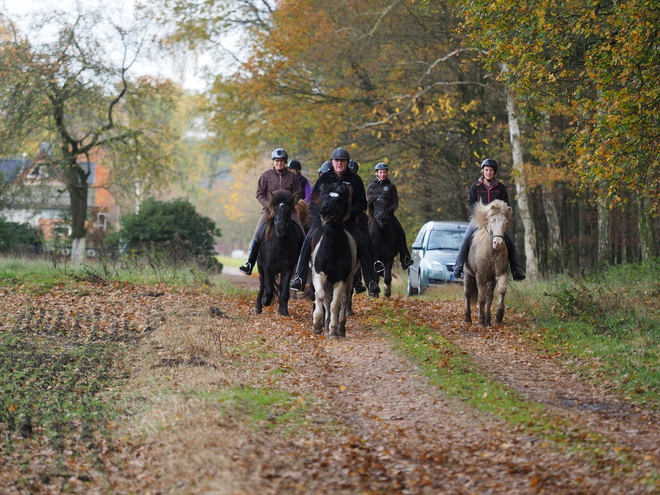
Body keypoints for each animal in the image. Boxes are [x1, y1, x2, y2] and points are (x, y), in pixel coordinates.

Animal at [255, 190, 304, 318]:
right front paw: (265, 301)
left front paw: (284, 312)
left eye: (288, 210)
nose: (280, 228)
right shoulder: (267, 268)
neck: (279, 244)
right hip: (260, 267)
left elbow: (284, 291)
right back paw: (258, 307)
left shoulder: (288, 268)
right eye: (275, 209)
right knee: (262, 285)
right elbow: (269, 291)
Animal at [310, 184, 358, 340]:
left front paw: (333, 331)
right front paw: (317, 324)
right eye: (324, 197)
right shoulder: (319, 275)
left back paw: (340, 329)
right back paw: (325, 327)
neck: (332, 248)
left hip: (349, 280)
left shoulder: (341, 279)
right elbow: (320, 296)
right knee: (326, 299)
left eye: (339, 200)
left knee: (344, 300)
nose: (324, 212)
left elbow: (335, 304)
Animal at [462, 200, 512, 328]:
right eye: (492, 221)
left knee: (489, 297)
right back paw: (467, 319)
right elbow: (481, 299)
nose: (498, 243)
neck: (492, 252)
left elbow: (501, 291)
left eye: (506, 222)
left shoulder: (500, 274)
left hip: (491, 280)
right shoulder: (480, 277)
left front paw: (499, 317)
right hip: (468, 274)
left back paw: (488, 321)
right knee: (467, 294)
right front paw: (480, 322)